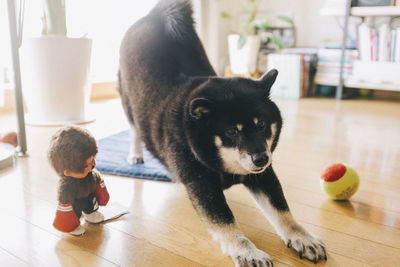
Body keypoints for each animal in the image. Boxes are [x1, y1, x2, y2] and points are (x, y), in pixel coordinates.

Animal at [118, 0, 324, 266]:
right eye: (231, 131)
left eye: (261, 124)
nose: (261, 158)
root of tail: (154, 15)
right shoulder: (201, 183)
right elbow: (225, 221)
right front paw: (246, 251)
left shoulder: (263, 175)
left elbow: (282, 210)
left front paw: (302, 237)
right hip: (128, 100)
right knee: (134, 129)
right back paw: (135, 154)